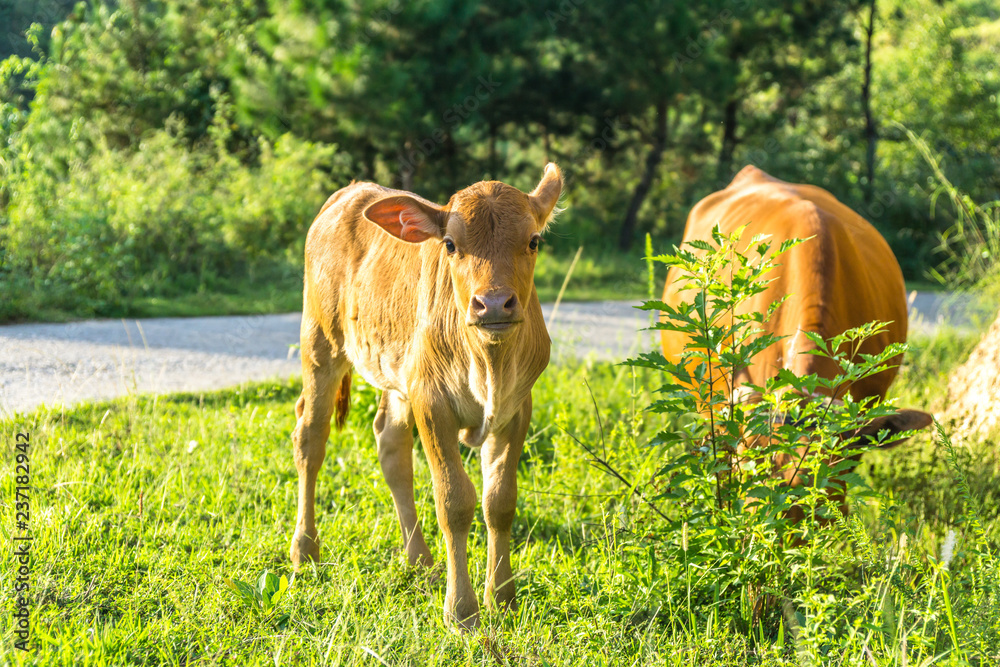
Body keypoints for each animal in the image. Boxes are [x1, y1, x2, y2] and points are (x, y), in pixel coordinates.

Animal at [290, 164, 564, 628]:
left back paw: (420, 561)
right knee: (311, 437)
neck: (488, 364)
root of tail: (350, 192)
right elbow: (454, 501)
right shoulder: (432, 401)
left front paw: (502, 598)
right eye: (450, 244)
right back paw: (305, 549)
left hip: (399, 373)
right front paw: (462, 611)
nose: (494, 304)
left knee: (390, 447)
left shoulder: (516, 407)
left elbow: (499, 501)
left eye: (533, 240)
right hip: (321, 343)